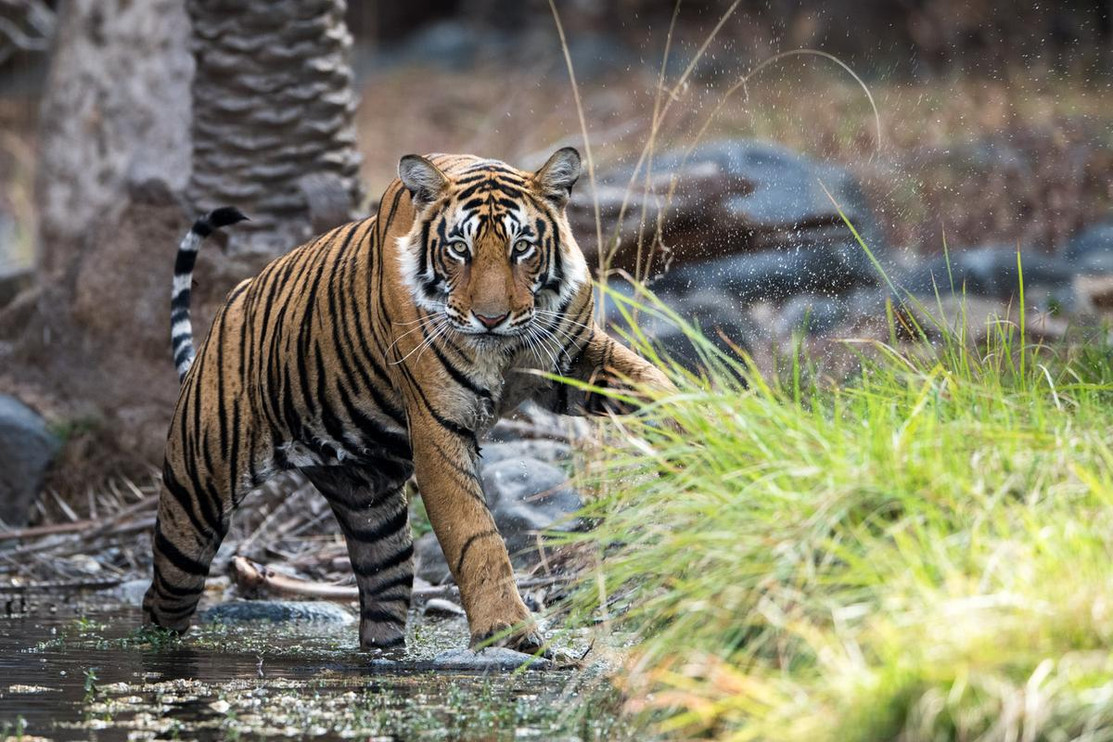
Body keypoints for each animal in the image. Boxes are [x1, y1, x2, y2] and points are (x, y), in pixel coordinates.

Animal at [144, 147, 672, 654]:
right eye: (459, 249)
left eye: (522, 247)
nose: (491, 319)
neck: (506, 350)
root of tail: (227, 310)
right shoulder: (439, 427)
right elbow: (476, 535)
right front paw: (508, 632)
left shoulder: (574, 358)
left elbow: (650, 383)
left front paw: (691, 435)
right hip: (193, 504)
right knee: (161, 596)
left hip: (372, 514)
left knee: (382, 596)